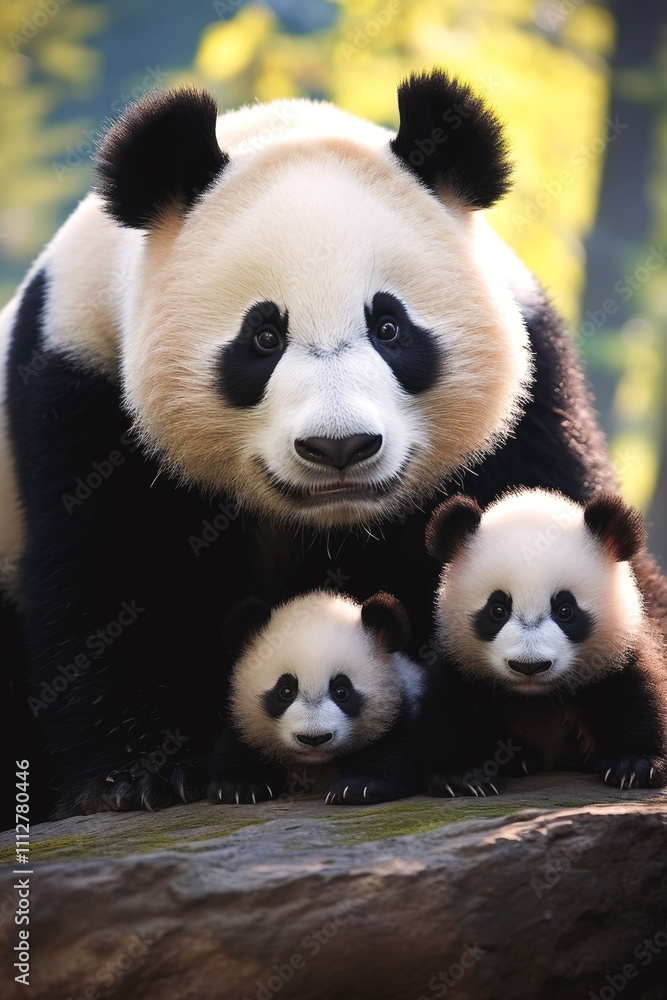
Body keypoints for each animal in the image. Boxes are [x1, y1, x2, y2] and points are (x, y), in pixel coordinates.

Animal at [208, 590, 424, 805]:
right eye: (285, 691)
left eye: (341, 692)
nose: (314, 738)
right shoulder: (246, 720)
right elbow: (238, 746)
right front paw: (237, 785)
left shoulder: (398, 710)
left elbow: (392, 749)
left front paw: (358, 785)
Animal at [421, 489, 667, 795]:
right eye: (497, 610)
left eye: (565, 610)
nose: (529, 666)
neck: (536, 696)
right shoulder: (458, 658)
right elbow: (450, 705)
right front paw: (462, 776)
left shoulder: (618, 649)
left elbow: (635, 692)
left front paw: (634, 765)